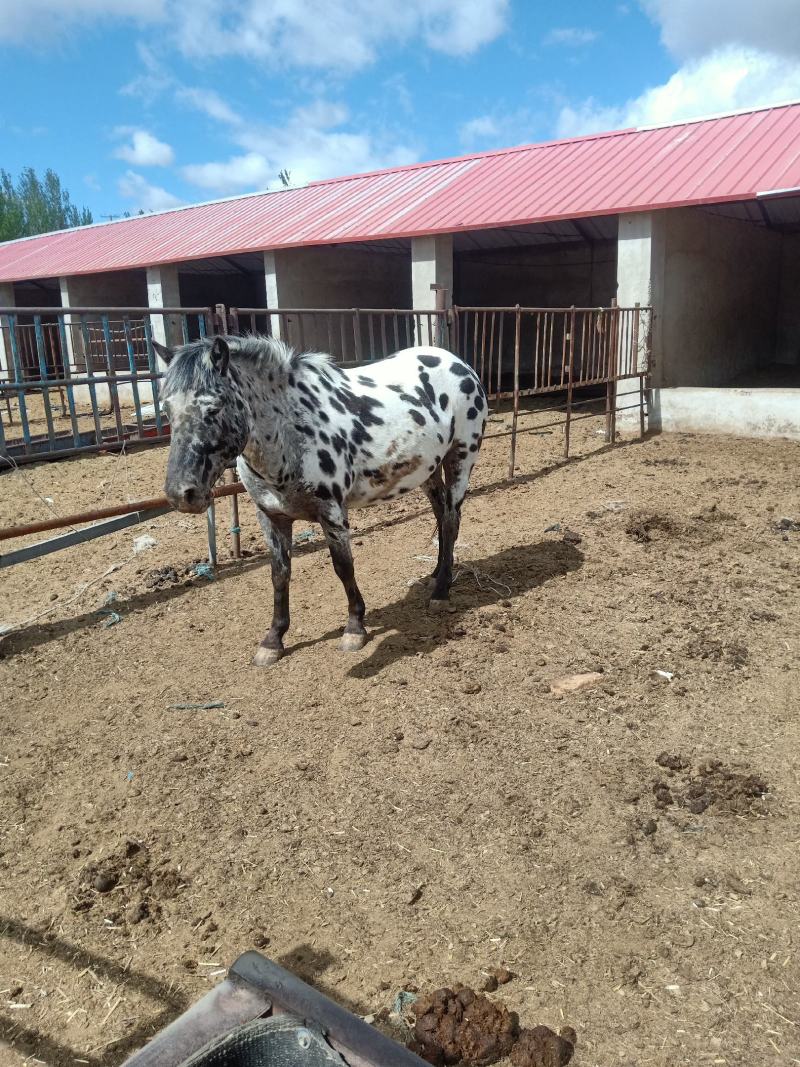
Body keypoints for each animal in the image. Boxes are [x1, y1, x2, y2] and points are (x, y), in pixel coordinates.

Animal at [154, 334, 488, 665]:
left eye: (213, 408)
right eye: (167, 410)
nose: (182, 494)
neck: (291, 435)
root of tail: (458, 364)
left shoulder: (332, 513)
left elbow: (343, 567)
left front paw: (354, 628)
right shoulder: (271, 517)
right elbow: (279, 575)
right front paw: (273, 640)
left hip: (460, 459)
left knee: (450, 519)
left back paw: (441, 591)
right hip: (427, 470)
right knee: (440, 514)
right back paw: (435, 574)